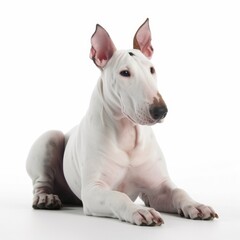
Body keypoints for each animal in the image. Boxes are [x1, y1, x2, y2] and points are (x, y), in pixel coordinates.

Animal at [26, 18, 218, 225]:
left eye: (152, 69)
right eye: (125, 73)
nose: (161, 111)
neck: (128, 133)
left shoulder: (158, 188)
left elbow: (178, 191)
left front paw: (196, 205)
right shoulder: (93, 190)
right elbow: (117, 196)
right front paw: (139, 211)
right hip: (49, 138)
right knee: (41, 180)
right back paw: (45, 197)